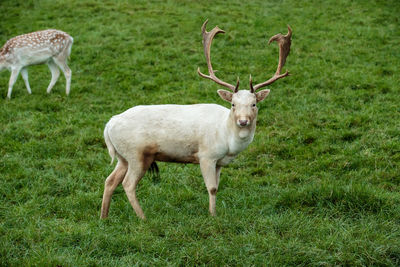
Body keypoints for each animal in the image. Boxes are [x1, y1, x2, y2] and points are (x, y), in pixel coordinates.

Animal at [101, 21, 292, 220]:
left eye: (254, 104)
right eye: (233, 104)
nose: (243, 121)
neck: (227, 140)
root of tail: (109, 125)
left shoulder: (219, 162)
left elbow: (217, 187)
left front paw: (214, 213)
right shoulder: (206, 155)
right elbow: (212, 188)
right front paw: (212, 216)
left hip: (123, 156)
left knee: (110, 180)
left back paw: (104, 217)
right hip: (136, 154)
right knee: (128, 184)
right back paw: (143, 218)